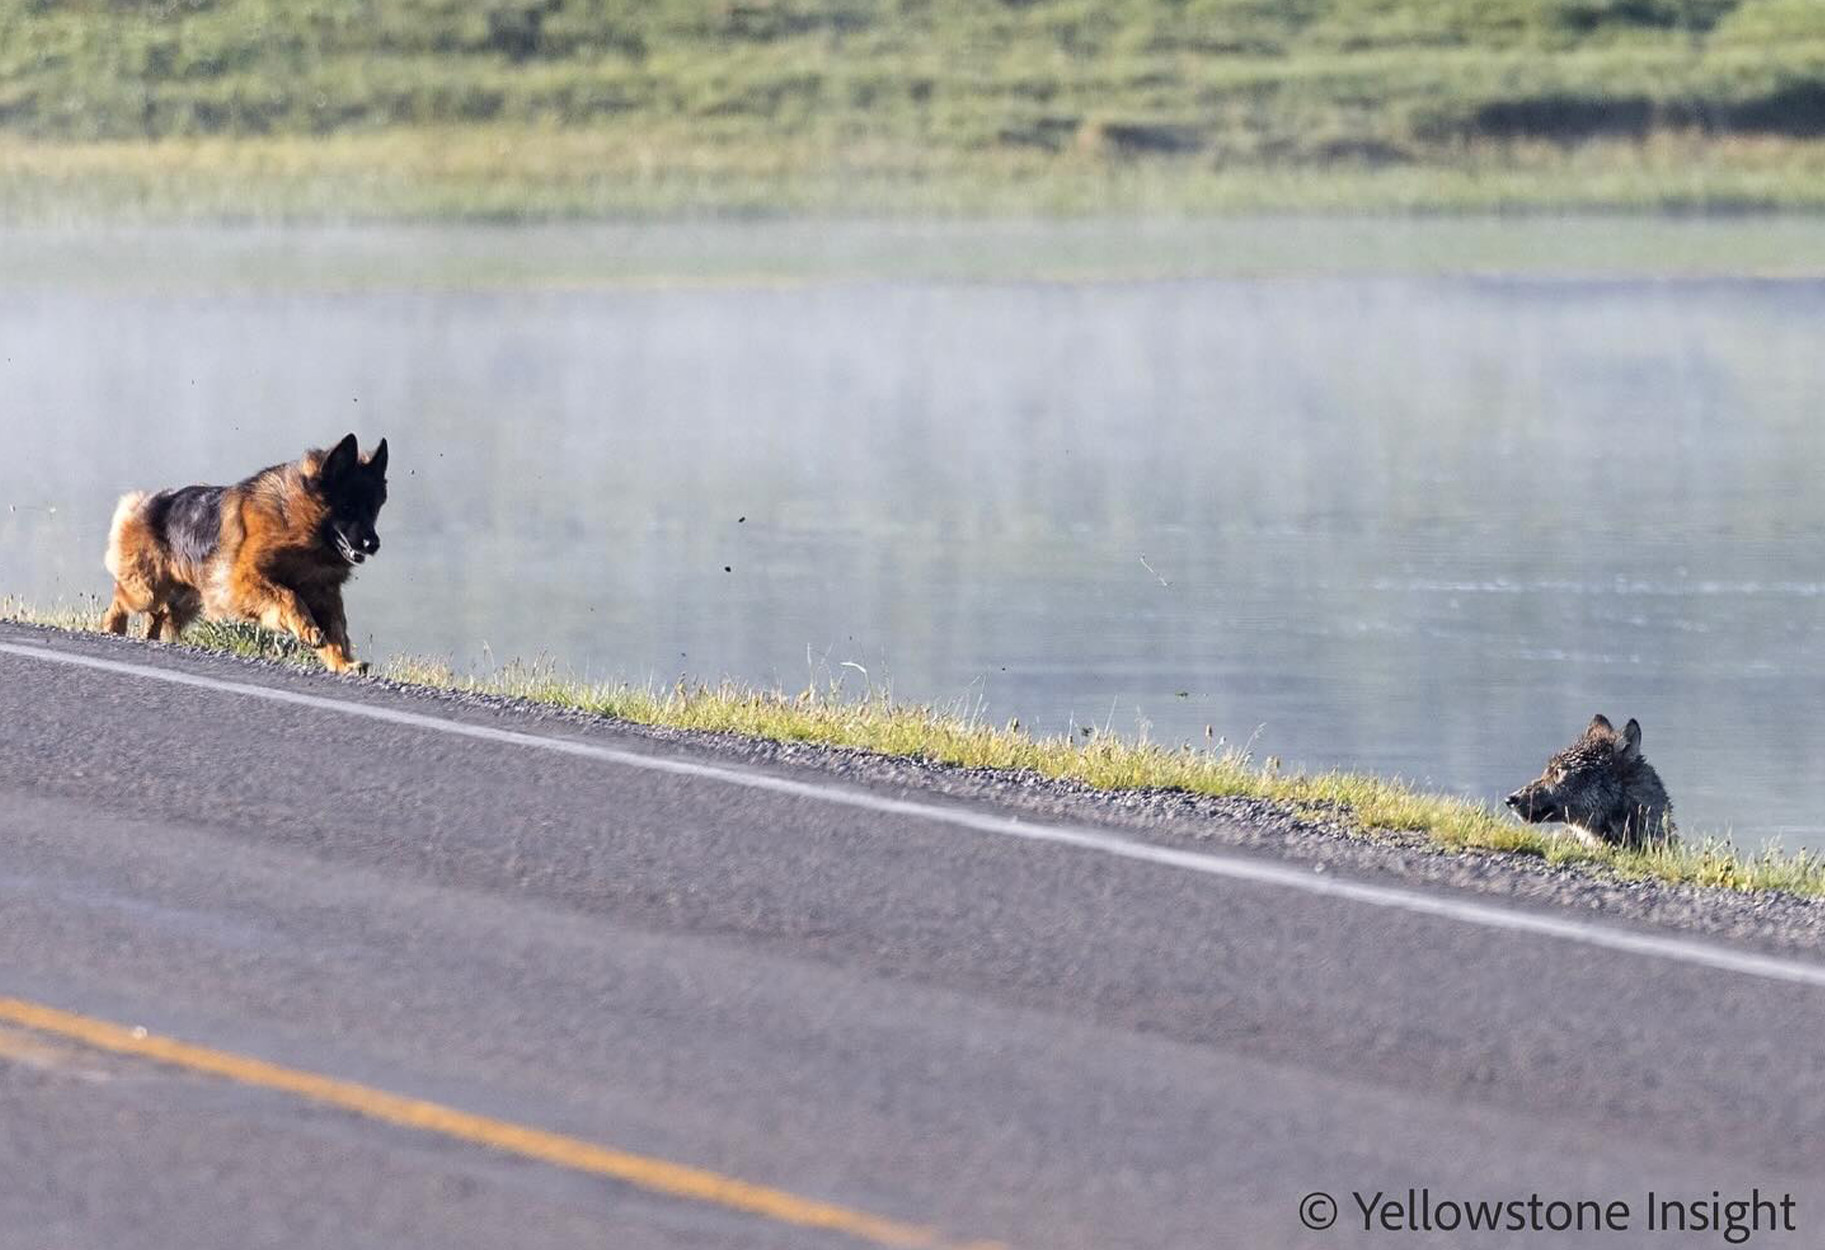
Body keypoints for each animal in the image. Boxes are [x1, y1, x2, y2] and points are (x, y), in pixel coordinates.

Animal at [102, 433, 388, 674]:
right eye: (347, 507)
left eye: (373, 509)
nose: (373, 543)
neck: (292, 520)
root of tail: (148, 501)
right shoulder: (246, 581)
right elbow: (290, 597)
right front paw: (308, 629)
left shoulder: (324, 597)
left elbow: (336, 633)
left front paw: (343, 663)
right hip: (147, 590)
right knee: (120, 599)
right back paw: (112, 627)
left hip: (184, 601)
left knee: (157, 617)